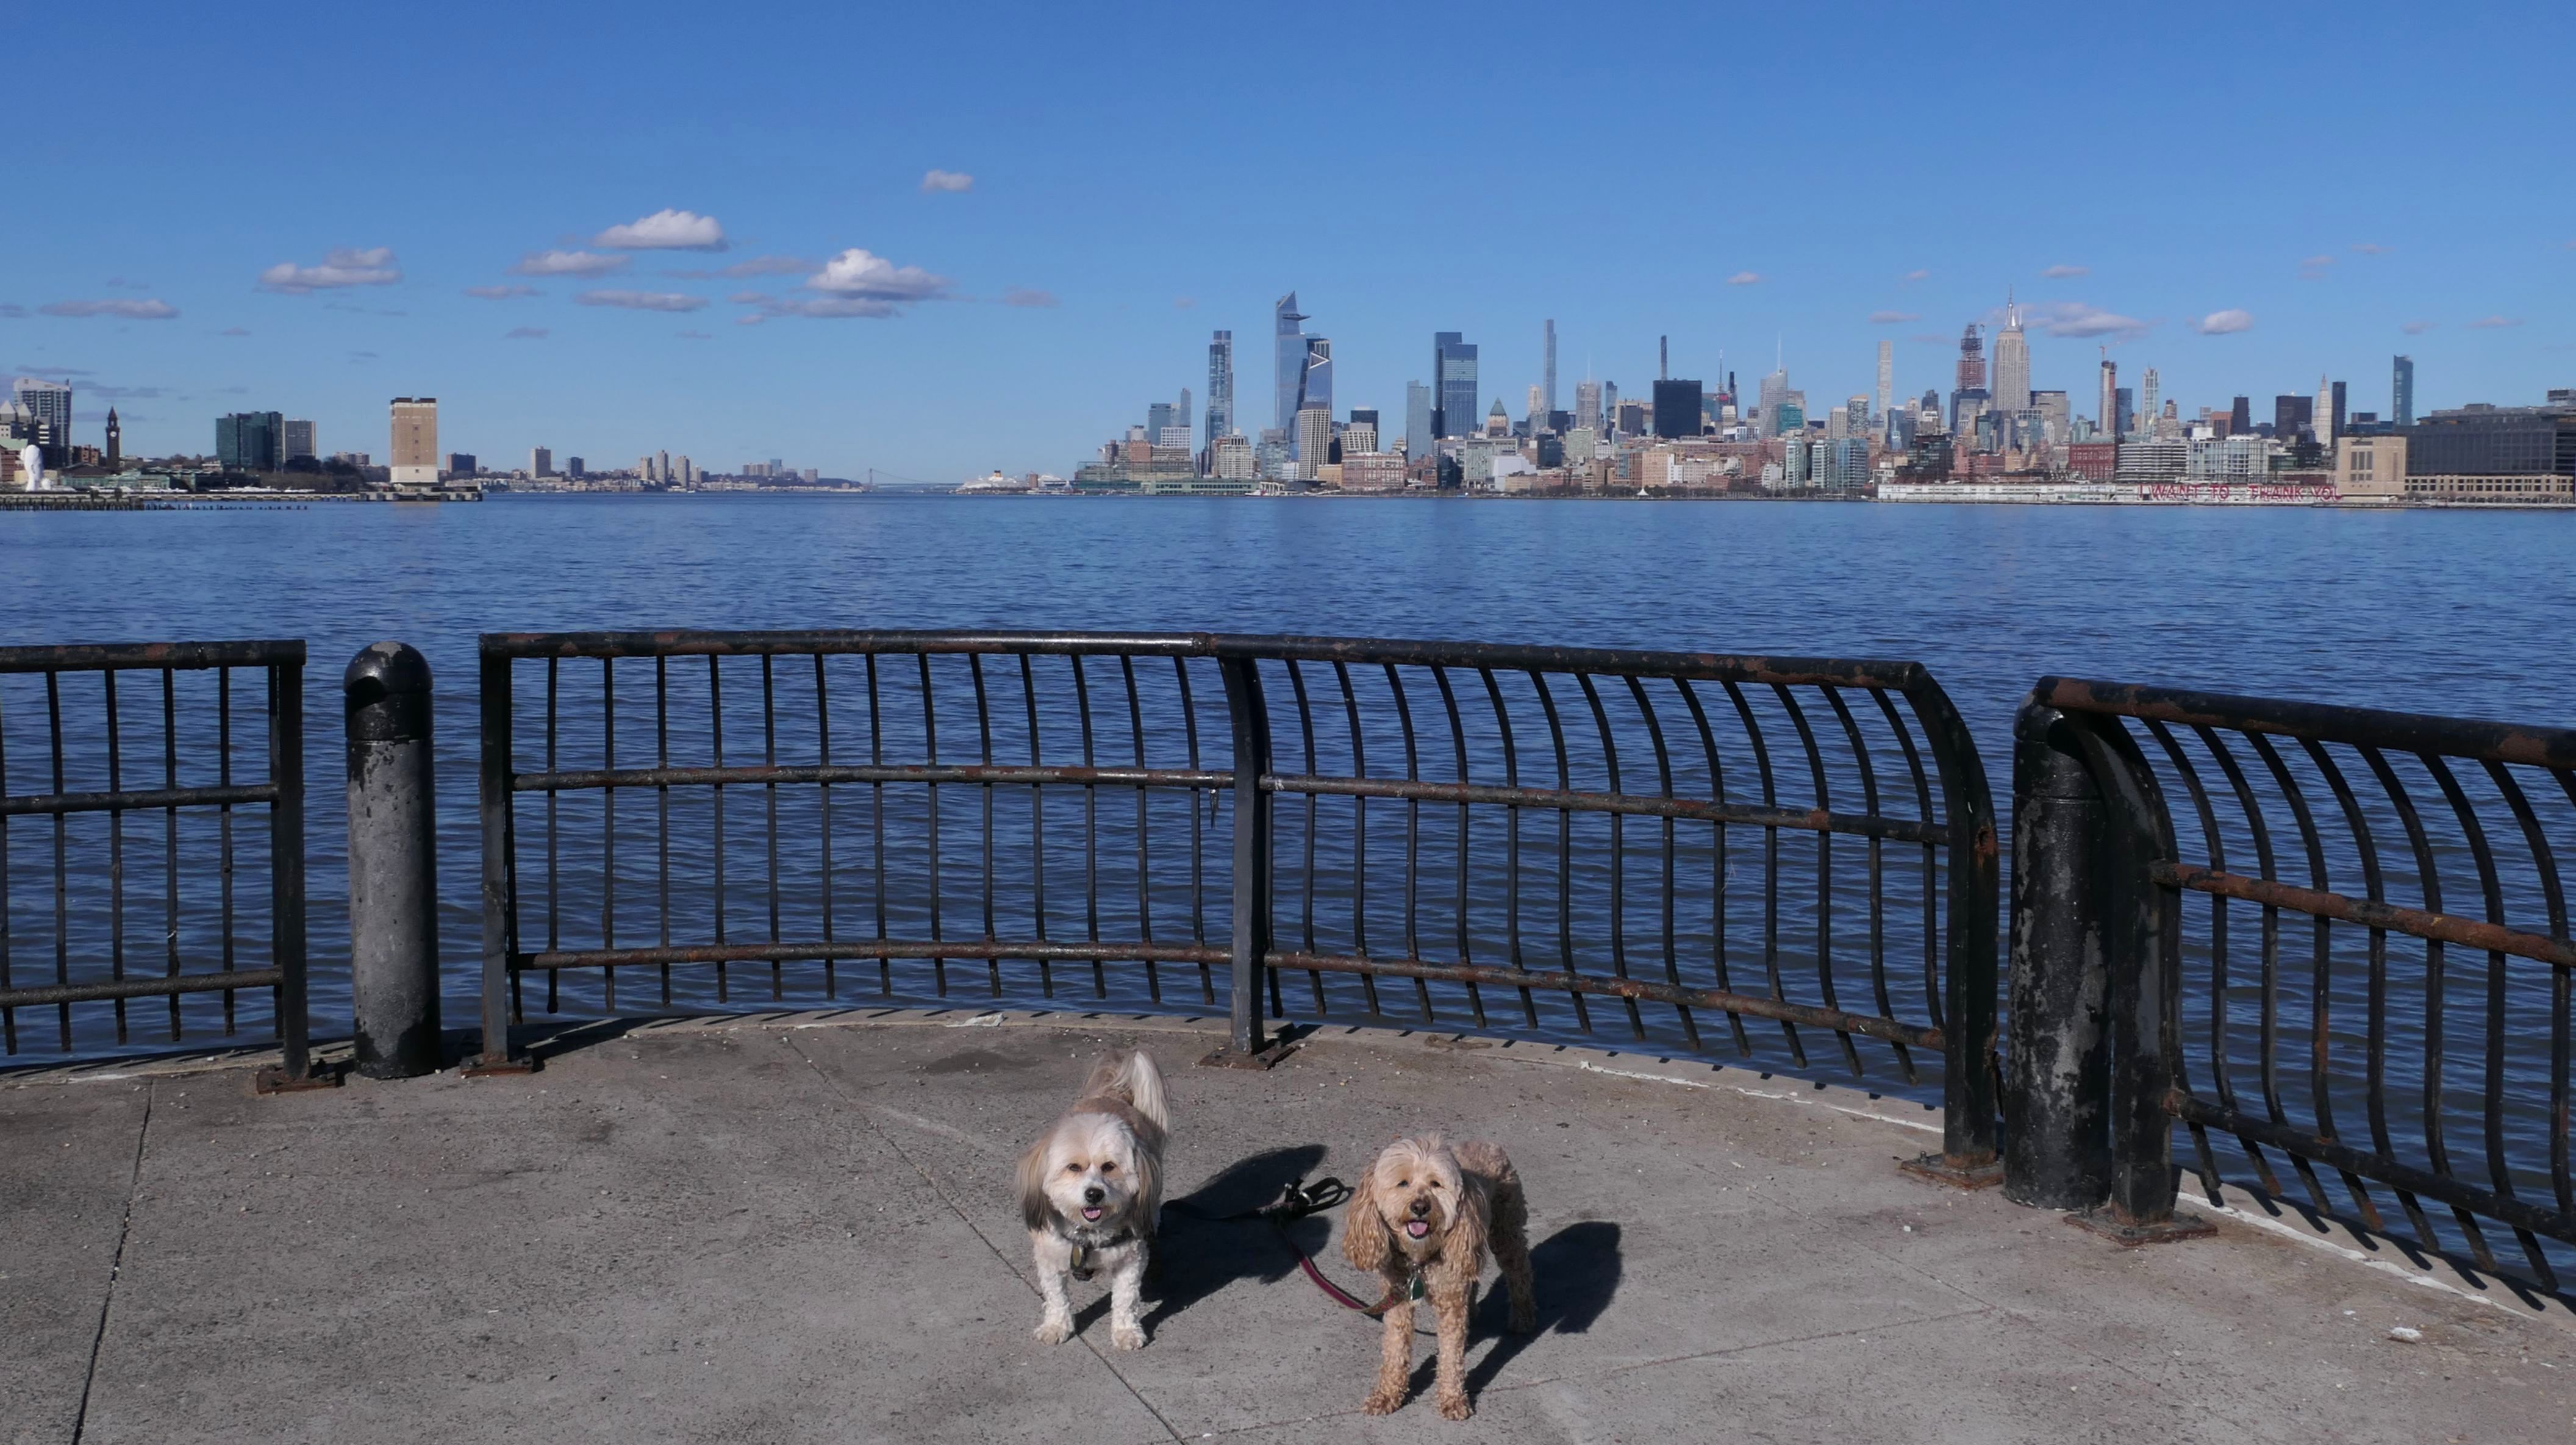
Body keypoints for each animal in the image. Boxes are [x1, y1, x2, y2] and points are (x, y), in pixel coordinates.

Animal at [1016, 1049, 1168, 1350]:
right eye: (1073, 1167)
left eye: (1109, 1167)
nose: (1094, 1193)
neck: (1088, 1235)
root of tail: (1113, 1094)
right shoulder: (1049, 1257)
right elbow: (1057, 1297)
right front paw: (1056, 1326)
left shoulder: (1130, 1260)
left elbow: (1125, 1300)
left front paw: (1126, 1331)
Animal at [1343, 1134, 1536, 1420]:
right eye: (1403, 1183)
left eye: (1436, 1184)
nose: (1420, 1206)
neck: (1419, 1261)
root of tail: (1486, 1144)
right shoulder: (1397, 1299)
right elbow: (1395, 1349)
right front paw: (1387, 1395)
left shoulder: (1450, 1301)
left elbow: (1451, 1354)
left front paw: (1452, 1398)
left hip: (1504, 1231)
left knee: (1519, 1272)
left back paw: (1523, 1317)